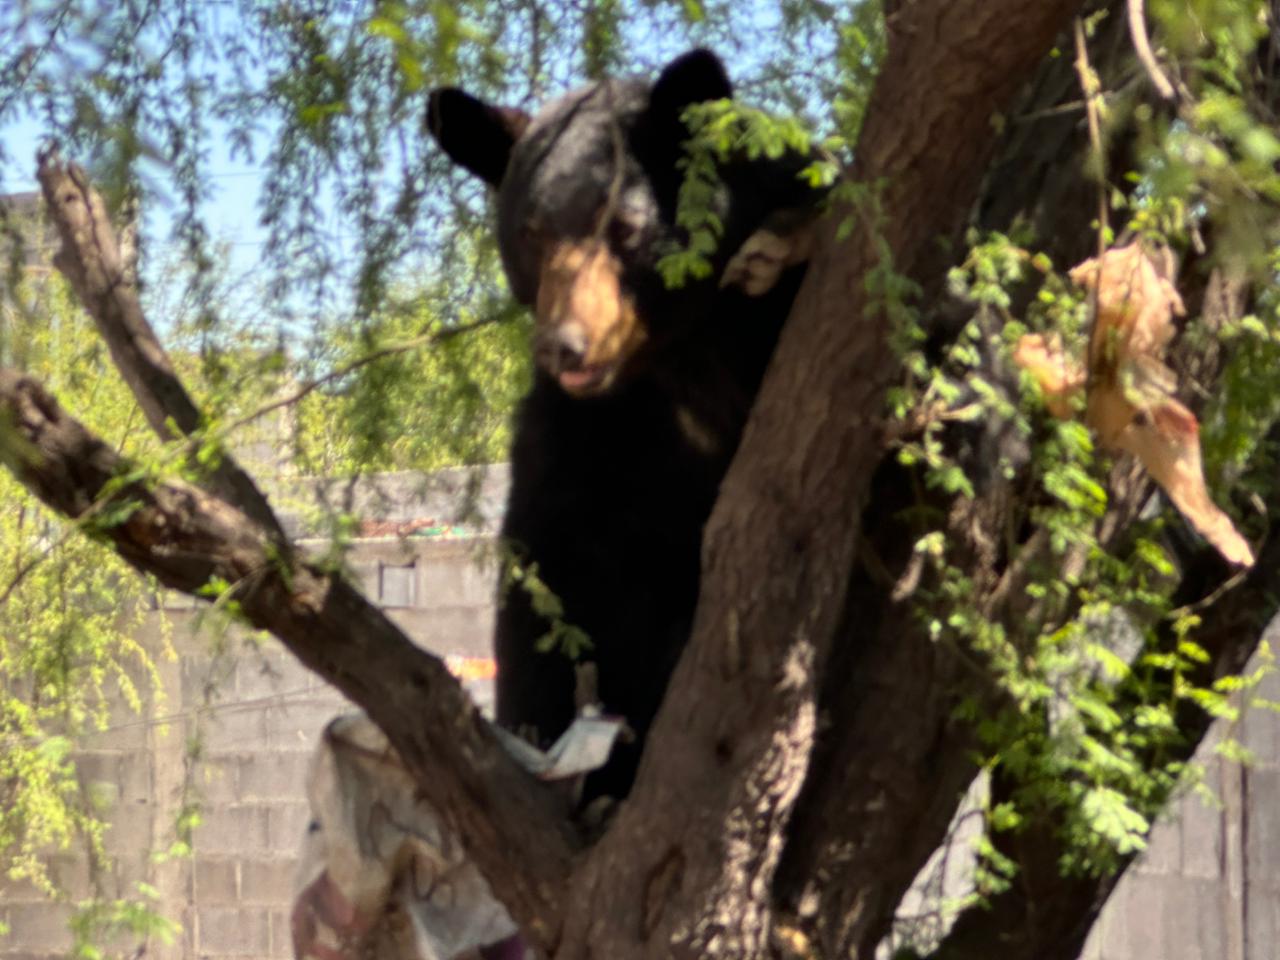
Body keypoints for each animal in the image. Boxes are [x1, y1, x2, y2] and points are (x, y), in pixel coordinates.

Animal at [424, 52, 814, 803]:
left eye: (625, 229)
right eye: (531, 234)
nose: (566, 347)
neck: (678, 355)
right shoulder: (580, 431)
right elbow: (548, 577)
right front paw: (539, 735)